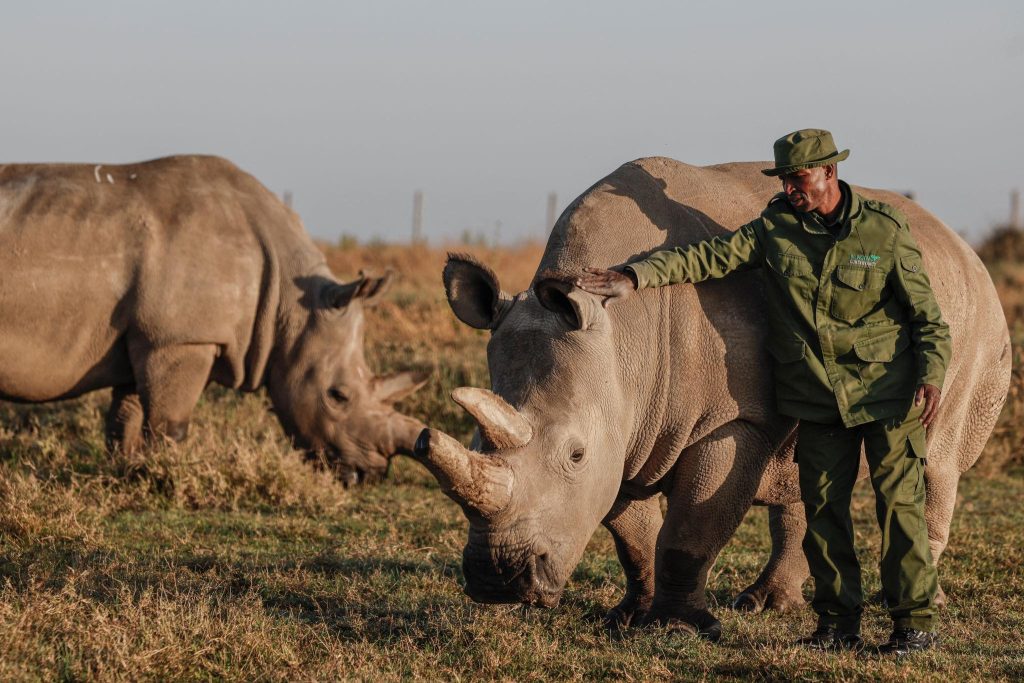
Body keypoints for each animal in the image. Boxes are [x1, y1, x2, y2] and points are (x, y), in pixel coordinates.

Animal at [0, 155, 426, 484]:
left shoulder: (148, 336)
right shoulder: (182, 339)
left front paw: (127, 473)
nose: (370, 475)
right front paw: (163, 479)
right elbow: (170, 423)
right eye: (337, 396)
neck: (289, 304)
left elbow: (126, 417)